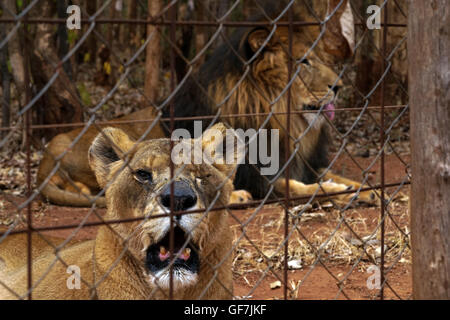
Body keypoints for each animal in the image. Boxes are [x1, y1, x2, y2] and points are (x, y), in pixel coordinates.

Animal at [37, 0, 378, 208]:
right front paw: (344, 192)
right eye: (304, 61)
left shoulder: (303, 164)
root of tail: (50, 150)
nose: (339, 86)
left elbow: (333, 176)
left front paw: (368, 188)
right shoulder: (261, 178)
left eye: (319, 58)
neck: (282, 118)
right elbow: (303, 189)